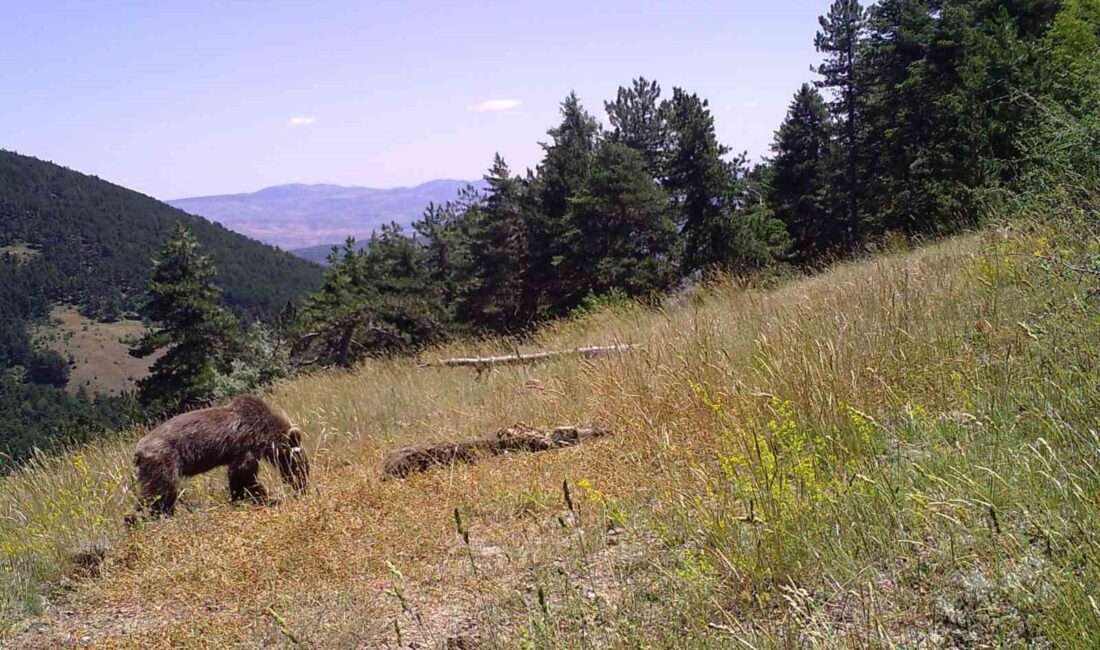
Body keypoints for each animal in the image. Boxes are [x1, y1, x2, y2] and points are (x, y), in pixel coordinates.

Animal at [130, 393, 308, 521]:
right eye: (301, 466)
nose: (302, 487)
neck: (264, 433)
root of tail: (138, 450)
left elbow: (240, 477)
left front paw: (242, 498)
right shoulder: (246, 445)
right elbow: (243, 474)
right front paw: (265, 497)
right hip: (164, 460)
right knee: (160, 491)